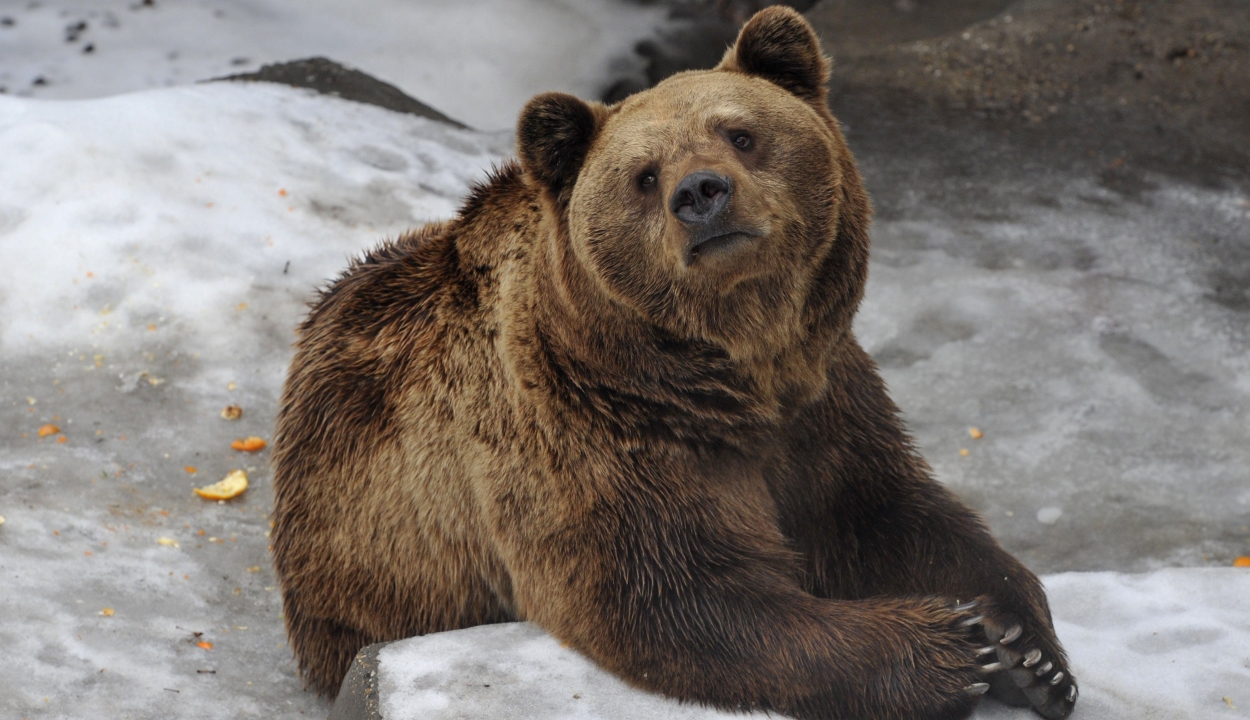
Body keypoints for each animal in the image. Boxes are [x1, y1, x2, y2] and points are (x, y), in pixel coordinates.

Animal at [271, 7, 1075, 720]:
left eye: (742, 133)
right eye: (645, 175)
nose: (701, 192)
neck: (737, 373)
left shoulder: (825, 405)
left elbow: (894, 512)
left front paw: (1027, 650)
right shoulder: (595, 437)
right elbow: (675, 594)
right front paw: (947, 647)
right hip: (366, 564)